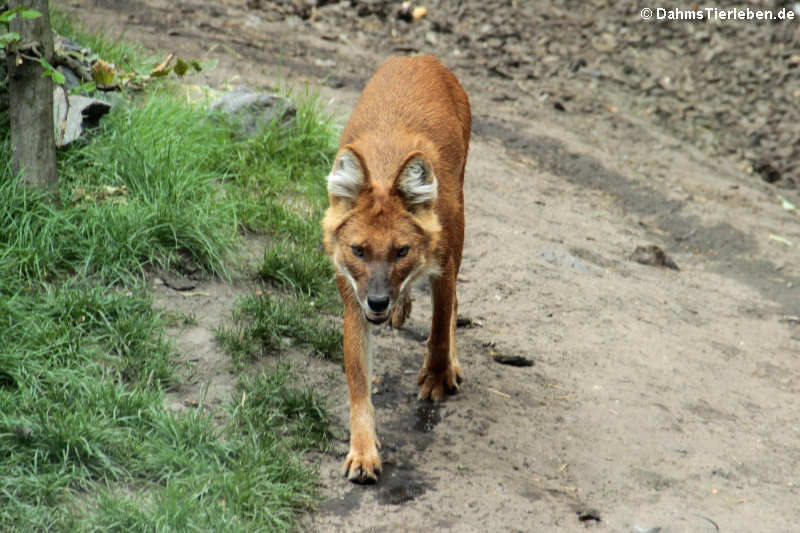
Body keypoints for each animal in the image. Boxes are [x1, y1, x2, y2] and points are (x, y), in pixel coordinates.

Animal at [322, 56, 468, 484]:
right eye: (358, 250)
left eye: (401, 250)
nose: (378, 301)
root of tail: (420, 57)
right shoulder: (352, 297)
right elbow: (358, 381)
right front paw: (363, 452)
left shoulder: (443, 268)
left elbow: (439, 332)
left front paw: (437, 377)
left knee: (454, 308)